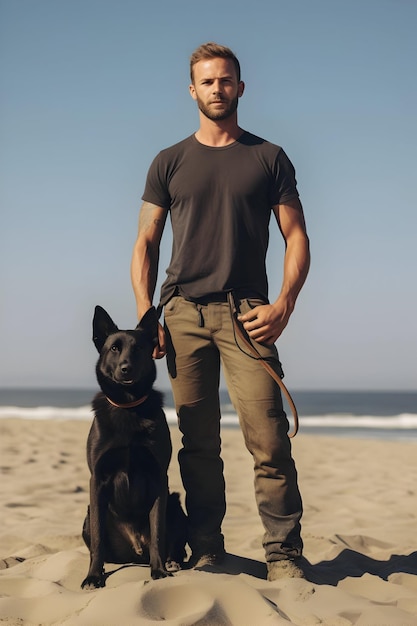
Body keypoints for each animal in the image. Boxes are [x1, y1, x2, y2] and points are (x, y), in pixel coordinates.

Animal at [81, 304, 185, 588]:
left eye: (138, 348)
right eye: (114, 348)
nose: (126, 369)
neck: (128, 406)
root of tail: (136, 550)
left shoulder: (159, 478)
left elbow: (158, 533)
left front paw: (159, 570)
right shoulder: (97, 480)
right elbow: (98, 539)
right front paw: (93, 576)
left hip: (175, 503)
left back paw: (172, 561)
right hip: (88, 514)